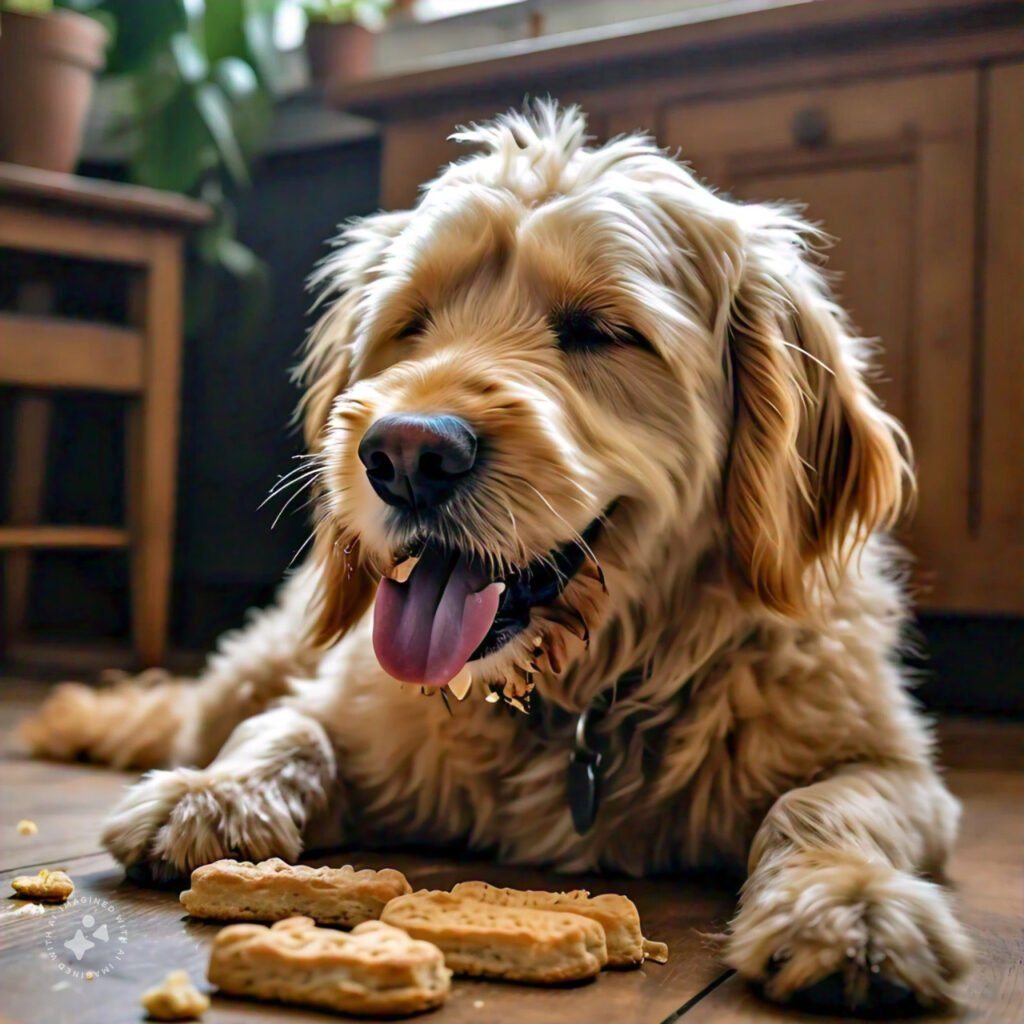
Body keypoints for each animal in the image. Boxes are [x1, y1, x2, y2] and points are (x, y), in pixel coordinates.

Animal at [19, 101, 970, 1007]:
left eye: (602, 330)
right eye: (414, 323)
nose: (405, 455)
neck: (579, 696)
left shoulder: (897, 769)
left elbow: (829, 804)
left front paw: (850, 907)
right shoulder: (352, 707)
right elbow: (289, 729)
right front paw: (216, 793)